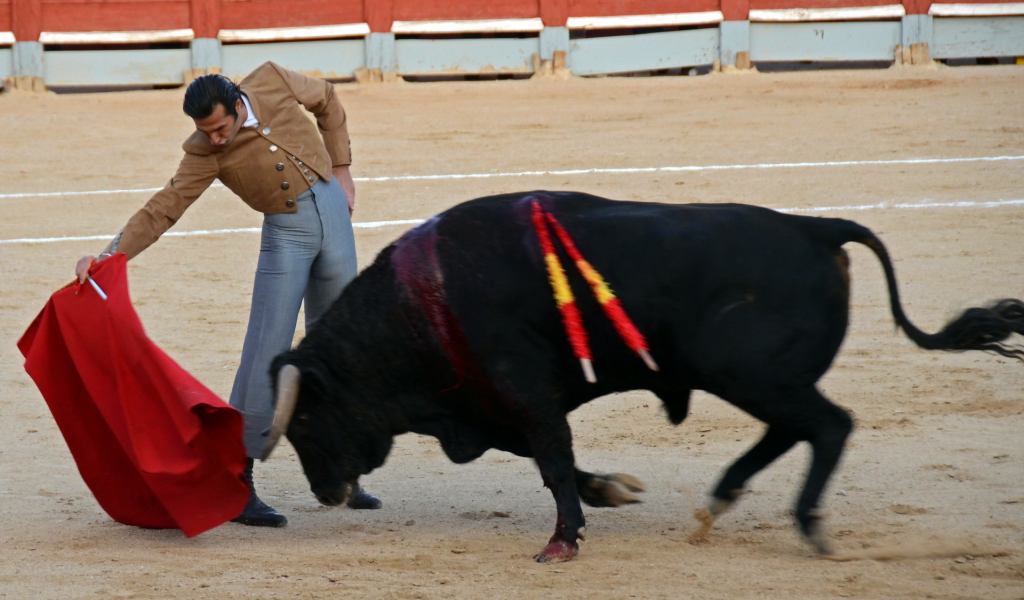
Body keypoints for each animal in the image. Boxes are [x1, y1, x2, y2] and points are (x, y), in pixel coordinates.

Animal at [262, 191, 1015, 561]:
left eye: (305, 421)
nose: (326, 493)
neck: (424, 304)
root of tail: (817, 228)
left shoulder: (522, 388)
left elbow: (551, 457)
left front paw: (562, 541)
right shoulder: (494, 403)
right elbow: (546, 456)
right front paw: (609, 494)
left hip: (751, 376)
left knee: (828, 426)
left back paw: (809, 528)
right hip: (757, 381)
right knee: (794, 430)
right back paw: (720, 502)